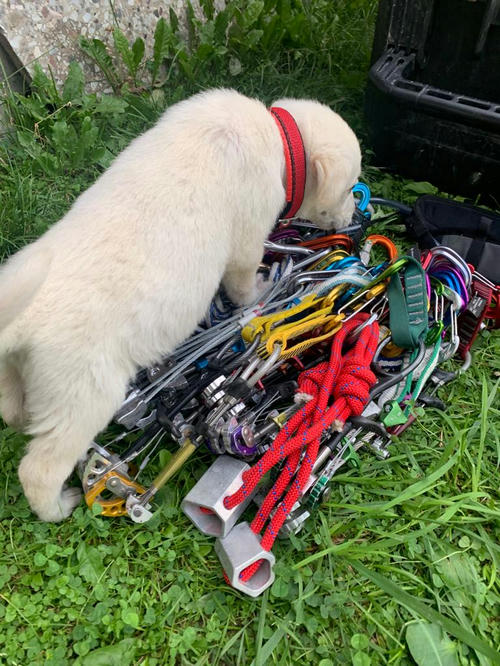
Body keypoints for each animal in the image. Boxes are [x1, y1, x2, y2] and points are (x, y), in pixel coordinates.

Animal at [0, 87, 360, 520]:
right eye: (348, 189)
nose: (355, 217)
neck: (278, 136)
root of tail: (24, 319)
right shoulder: (248, 239)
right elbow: (243, 279)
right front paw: (261, 288)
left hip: (14, 372)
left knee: (12, 412)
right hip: (83, 395)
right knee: (40, 468)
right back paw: (59, 506)